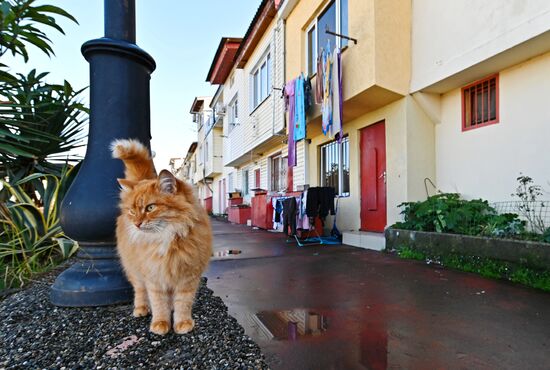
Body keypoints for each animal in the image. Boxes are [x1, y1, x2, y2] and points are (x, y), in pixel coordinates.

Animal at [111, 139, 212, 336]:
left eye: (150, 208)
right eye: (132, 211)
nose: (137, 223)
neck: (168, 238)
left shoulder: (187, 278)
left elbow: (182, 304)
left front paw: (182, 323)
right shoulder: (154, 277)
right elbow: (158, 304)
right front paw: (160, 324)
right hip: (134, 271)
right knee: (140, 291)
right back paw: (141, 309)